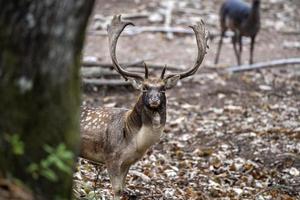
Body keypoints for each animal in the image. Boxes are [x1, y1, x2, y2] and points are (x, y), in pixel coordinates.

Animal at [78, 14, 207, 199]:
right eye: (145, 88)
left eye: (163, 89)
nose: (154, 100)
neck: (134, 142)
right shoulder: (111, 157)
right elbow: (116, 190)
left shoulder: (128, 163)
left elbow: (122, 189)